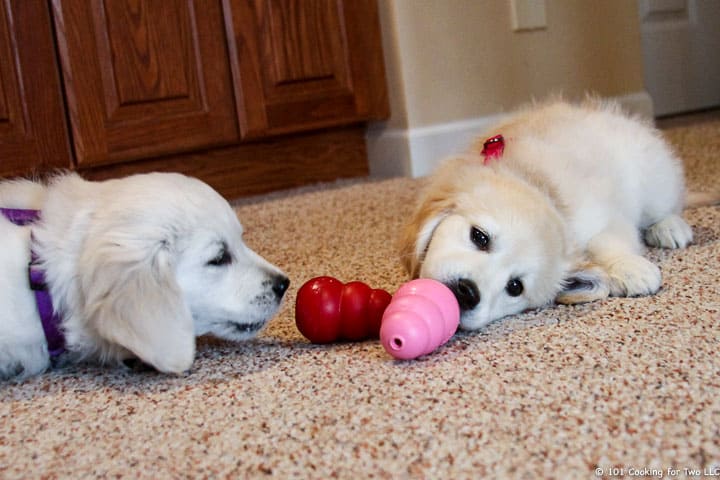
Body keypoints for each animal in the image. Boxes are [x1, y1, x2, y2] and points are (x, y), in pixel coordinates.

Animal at [402, 100, 716, 332]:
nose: (468, 291)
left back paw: (670, 227)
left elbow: (607, 240)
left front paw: (631, 268)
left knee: (668, 205)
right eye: (479, 237)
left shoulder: (608, 216)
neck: (539, 183)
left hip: (655, 177)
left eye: (515, 287)